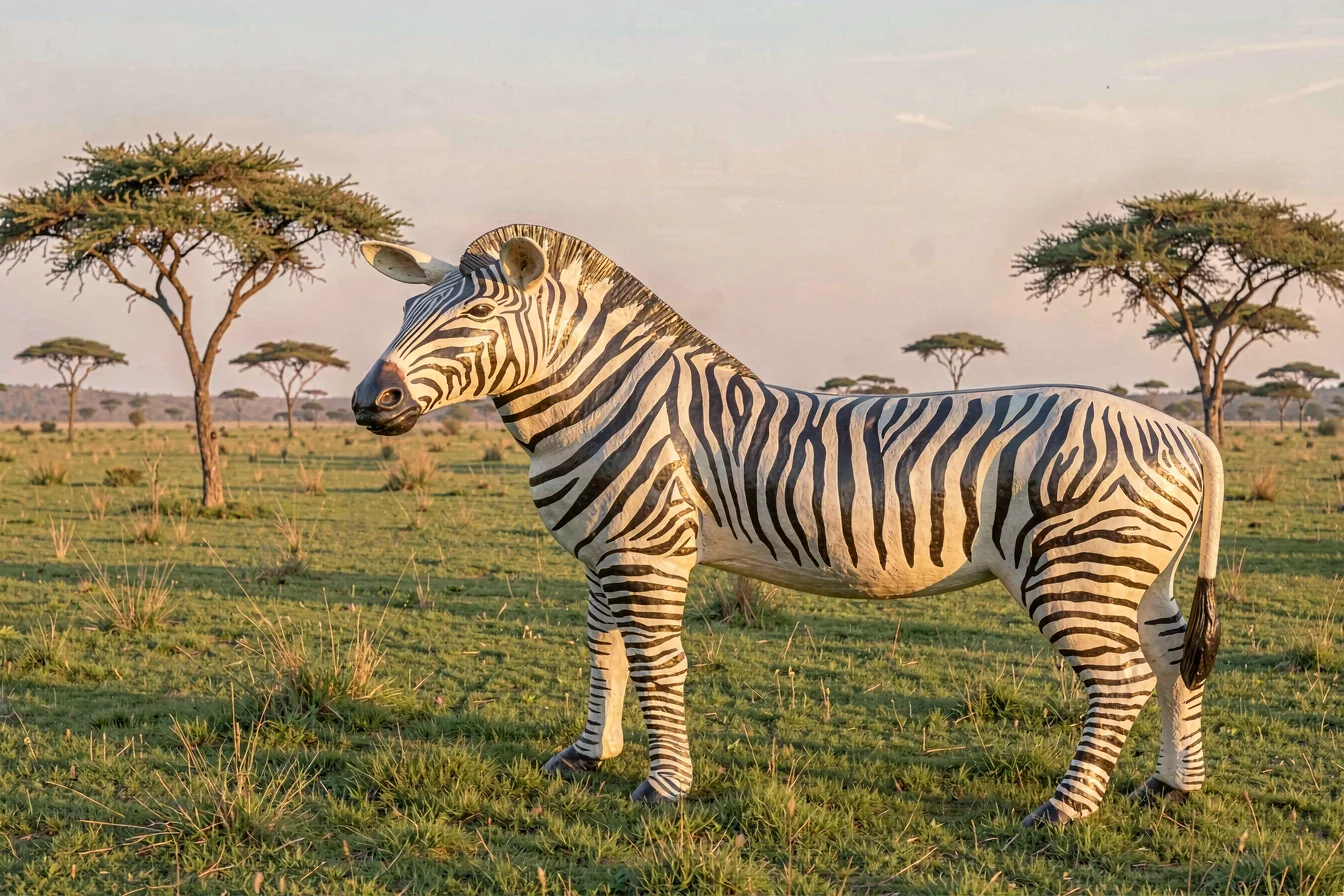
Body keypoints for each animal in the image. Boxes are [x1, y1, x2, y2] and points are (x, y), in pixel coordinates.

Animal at [350, 224, 1223, 828]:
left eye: (478, 312)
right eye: (407, 308)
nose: (368, 402)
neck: (611, 404)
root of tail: (1189, 433)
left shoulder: (647, 553)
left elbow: (658, 665)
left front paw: (663, 788)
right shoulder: (604, 554)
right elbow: (604, 656)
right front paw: (586, 755)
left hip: (1074, 568)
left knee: (1122, 679)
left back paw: (1064, 810)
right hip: (1141, 572)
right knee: (1174, 658)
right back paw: (1172, 786)